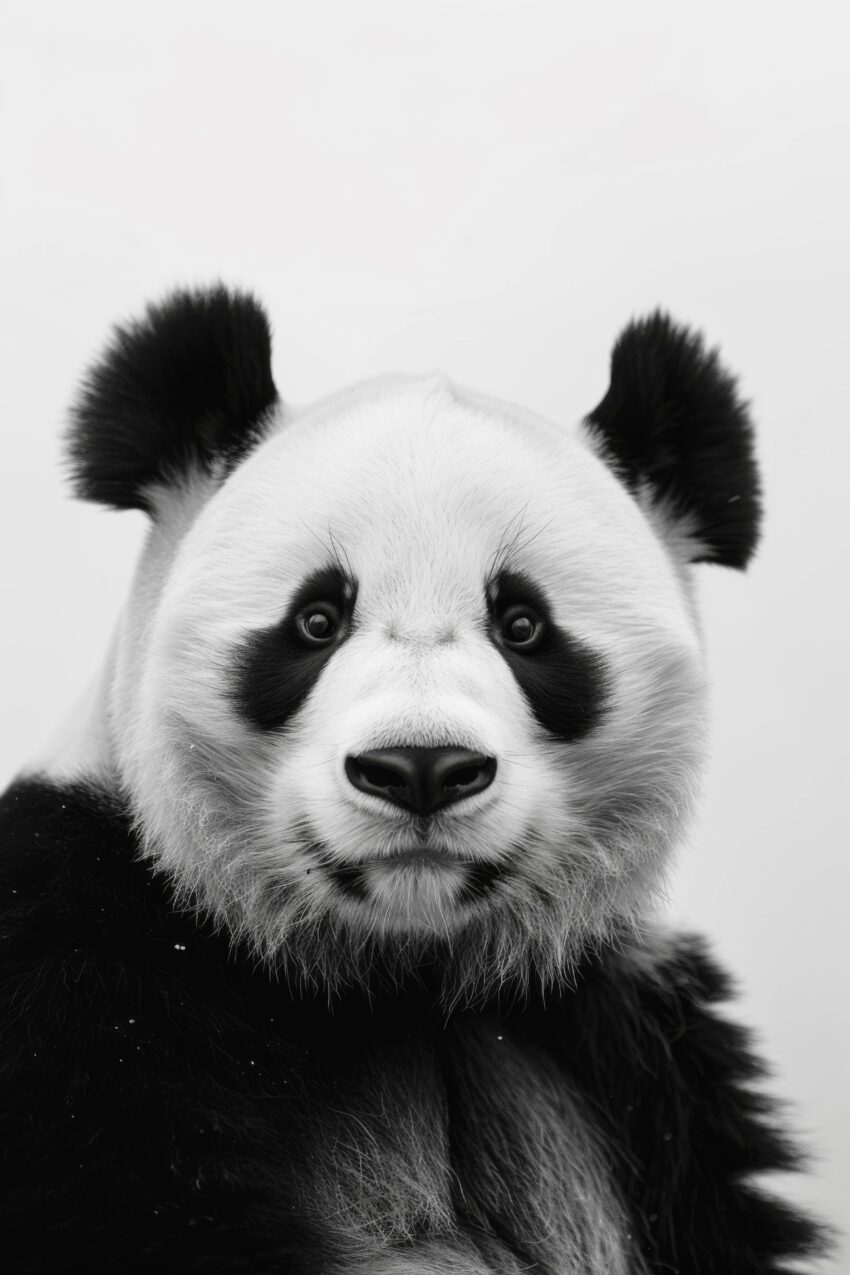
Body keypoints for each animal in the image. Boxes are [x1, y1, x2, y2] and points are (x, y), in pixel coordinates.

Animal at [0, 286, 825, 1274]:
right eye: (316, 619)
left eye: (523, 624)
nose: (421, 769)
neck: (398, 974)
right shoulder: (80, 955)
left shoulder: (636, 1047)